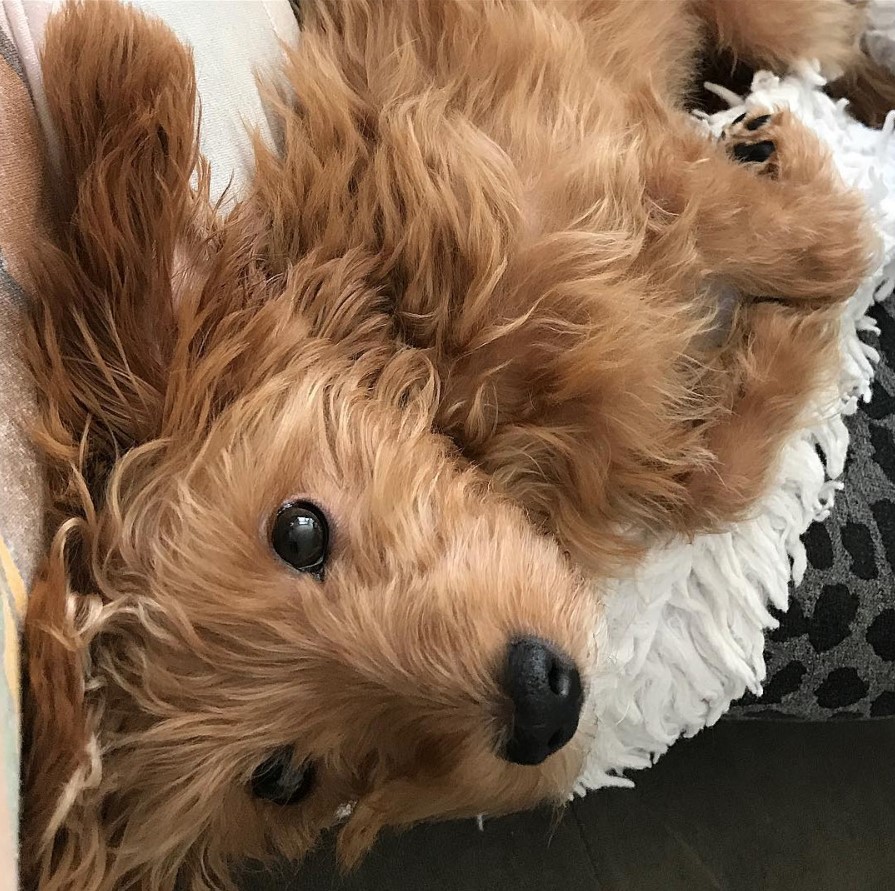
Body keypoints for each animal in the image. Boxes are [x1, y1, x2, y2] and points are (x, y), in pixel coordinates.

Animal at [21, 1, 880, 891]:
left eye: (299, 529)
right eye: (283, 778)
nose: (540, 706)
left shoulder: (612, 166)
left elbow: (794, 241)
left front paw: (817, 202)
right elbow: (713, 478)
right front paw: (792, 331)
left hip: (770, 32)